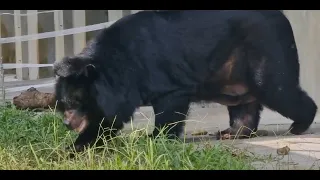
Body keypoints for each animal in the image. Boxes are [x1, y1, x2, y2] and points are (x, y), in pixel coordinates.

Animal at [53, 10, 318, 152]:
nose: (66, 123)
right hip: (235, 72)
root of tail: (284, 19)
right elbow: (106, 120)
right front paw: (76, 146)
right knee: (245, 103)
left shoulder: (162, 78)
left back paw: (299, 126)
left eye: (74, 101)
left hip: (266, 52)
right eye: (62, 104)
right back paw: (231, 133)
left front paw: (155, 137)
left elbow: (168, 107)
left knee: (278, 90)